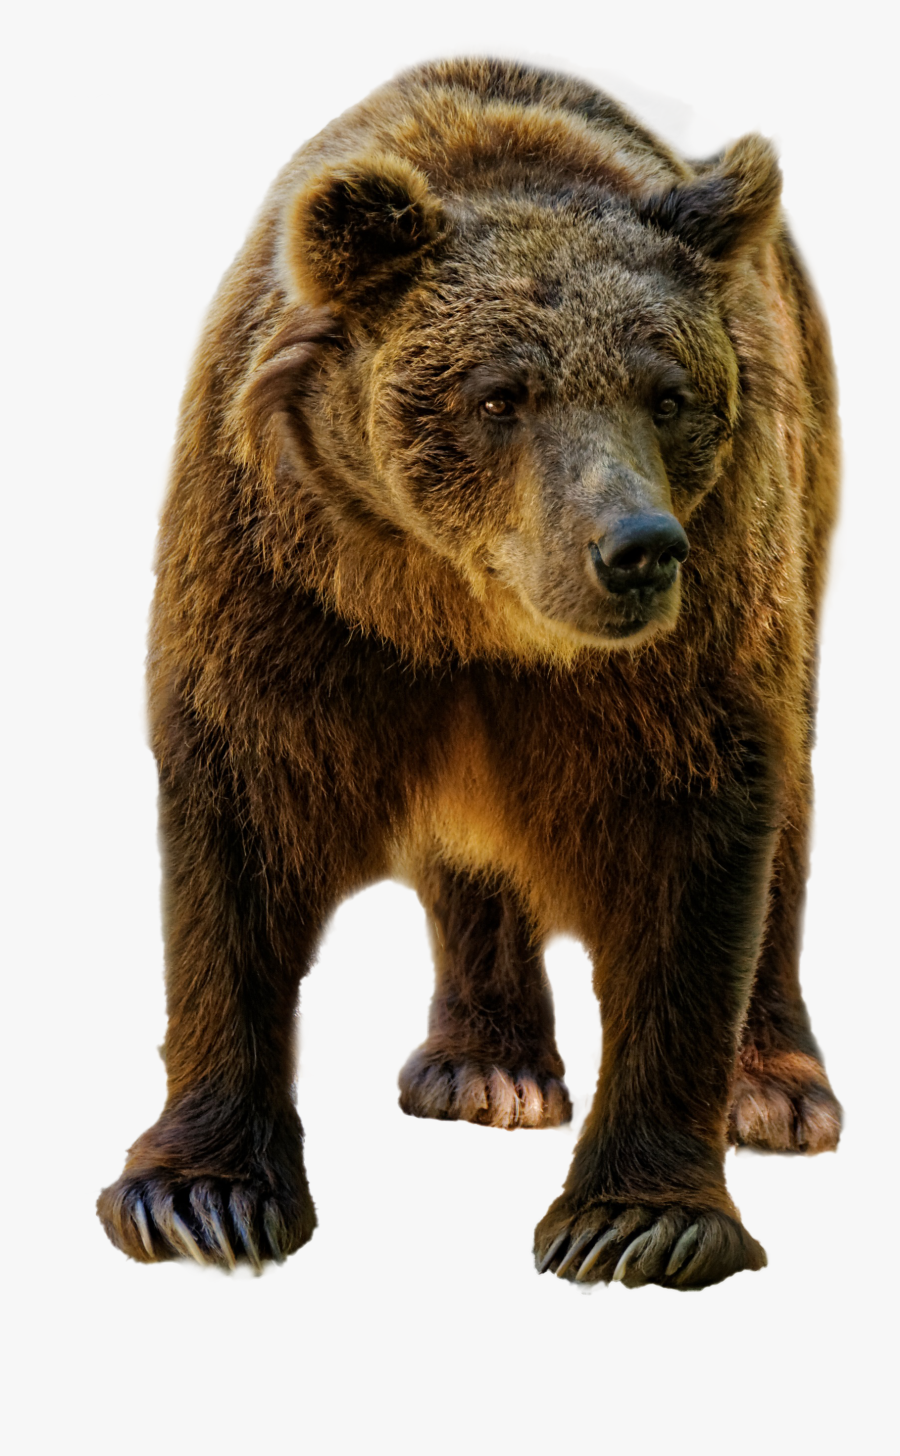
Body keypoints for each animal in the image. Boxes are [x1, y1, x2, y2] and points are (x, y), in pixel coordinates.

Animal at [97, 57, 841, 1289]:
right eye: (501, 395)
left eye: (669, 392)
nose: (636, 547)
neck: (467, 615)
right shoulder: (285, 582)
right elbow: (240, 821)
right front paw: (200, 1195)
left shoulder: (699, 626)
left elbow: (697, 834)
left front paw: (640, 1217)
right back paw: (485, 1066)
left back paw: (779, 1087)